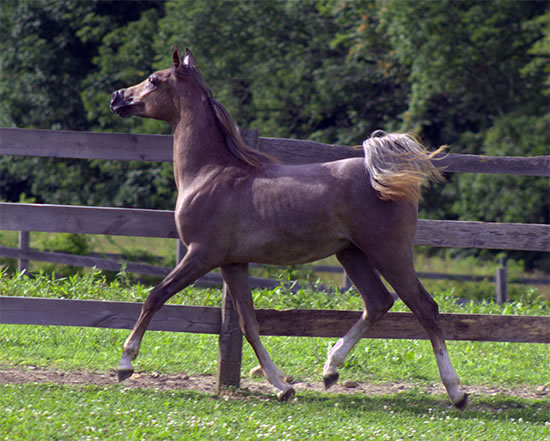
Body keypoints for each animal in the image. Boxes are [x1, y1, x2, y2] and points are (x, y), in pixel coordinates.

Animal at [110, 47, 468, 410]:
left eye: (153, 80)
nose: (117, 97)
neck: (210, 173)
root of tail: (382, 176)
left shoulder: (201, 255)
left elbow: (156, 296)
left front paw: (125, 363)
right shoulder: (232, 263)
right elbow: (249, 324)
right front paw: (282, 387)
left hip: (389, 253)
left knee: (424, 307)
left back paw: (456, 392)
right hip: (351, 254)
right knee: (378, 302)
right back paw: (331, 369)